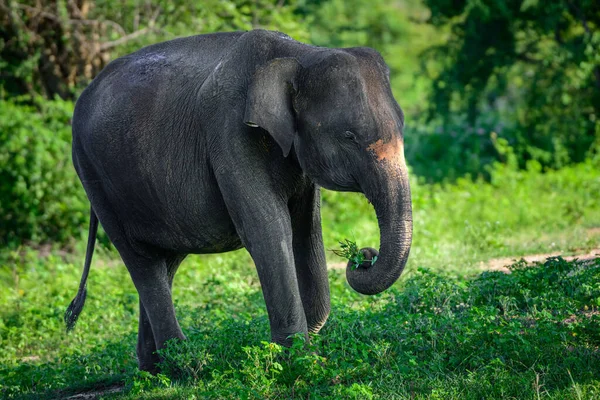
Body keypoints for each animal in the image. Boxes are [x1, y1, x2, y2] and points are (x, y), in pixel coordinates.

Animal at [65, 29, 412, 374]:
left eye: (402, 125)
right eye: (349, 136)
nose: (363, 256)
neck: (300, 54)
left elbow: (306, 229)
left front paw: (307, 350)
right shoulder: (228, 131)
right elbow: (269, 229)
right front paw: (299, 360)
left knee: (166, 262)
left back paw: (154, 368)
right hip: (93, 175)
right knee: (142, 261)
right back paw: (183, 367)